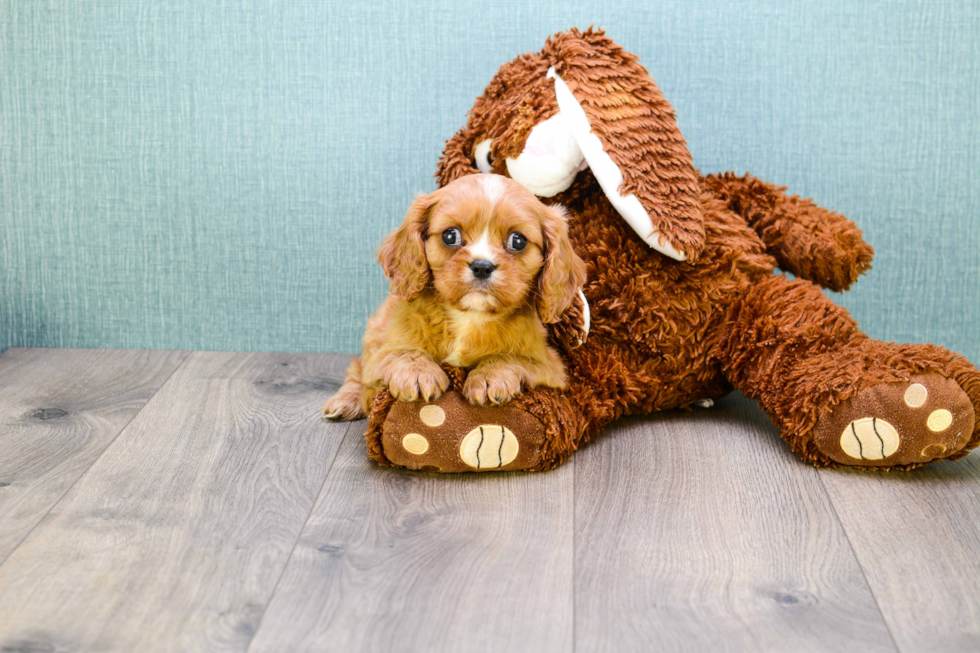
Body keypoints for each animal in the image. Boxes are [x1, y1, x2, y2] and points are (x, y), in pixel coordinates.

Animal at [322, 173, 584, 420]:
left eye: (517, 241)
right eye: (450, 236)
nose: (482, 266)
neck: (469, 317)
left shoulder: (551, 368)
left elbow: (513, 359)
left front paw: (489, 377)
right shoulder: (381, 355)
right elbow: (398, 354)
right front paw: (418, 373)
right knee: (357, 368)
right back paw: (345, 401)